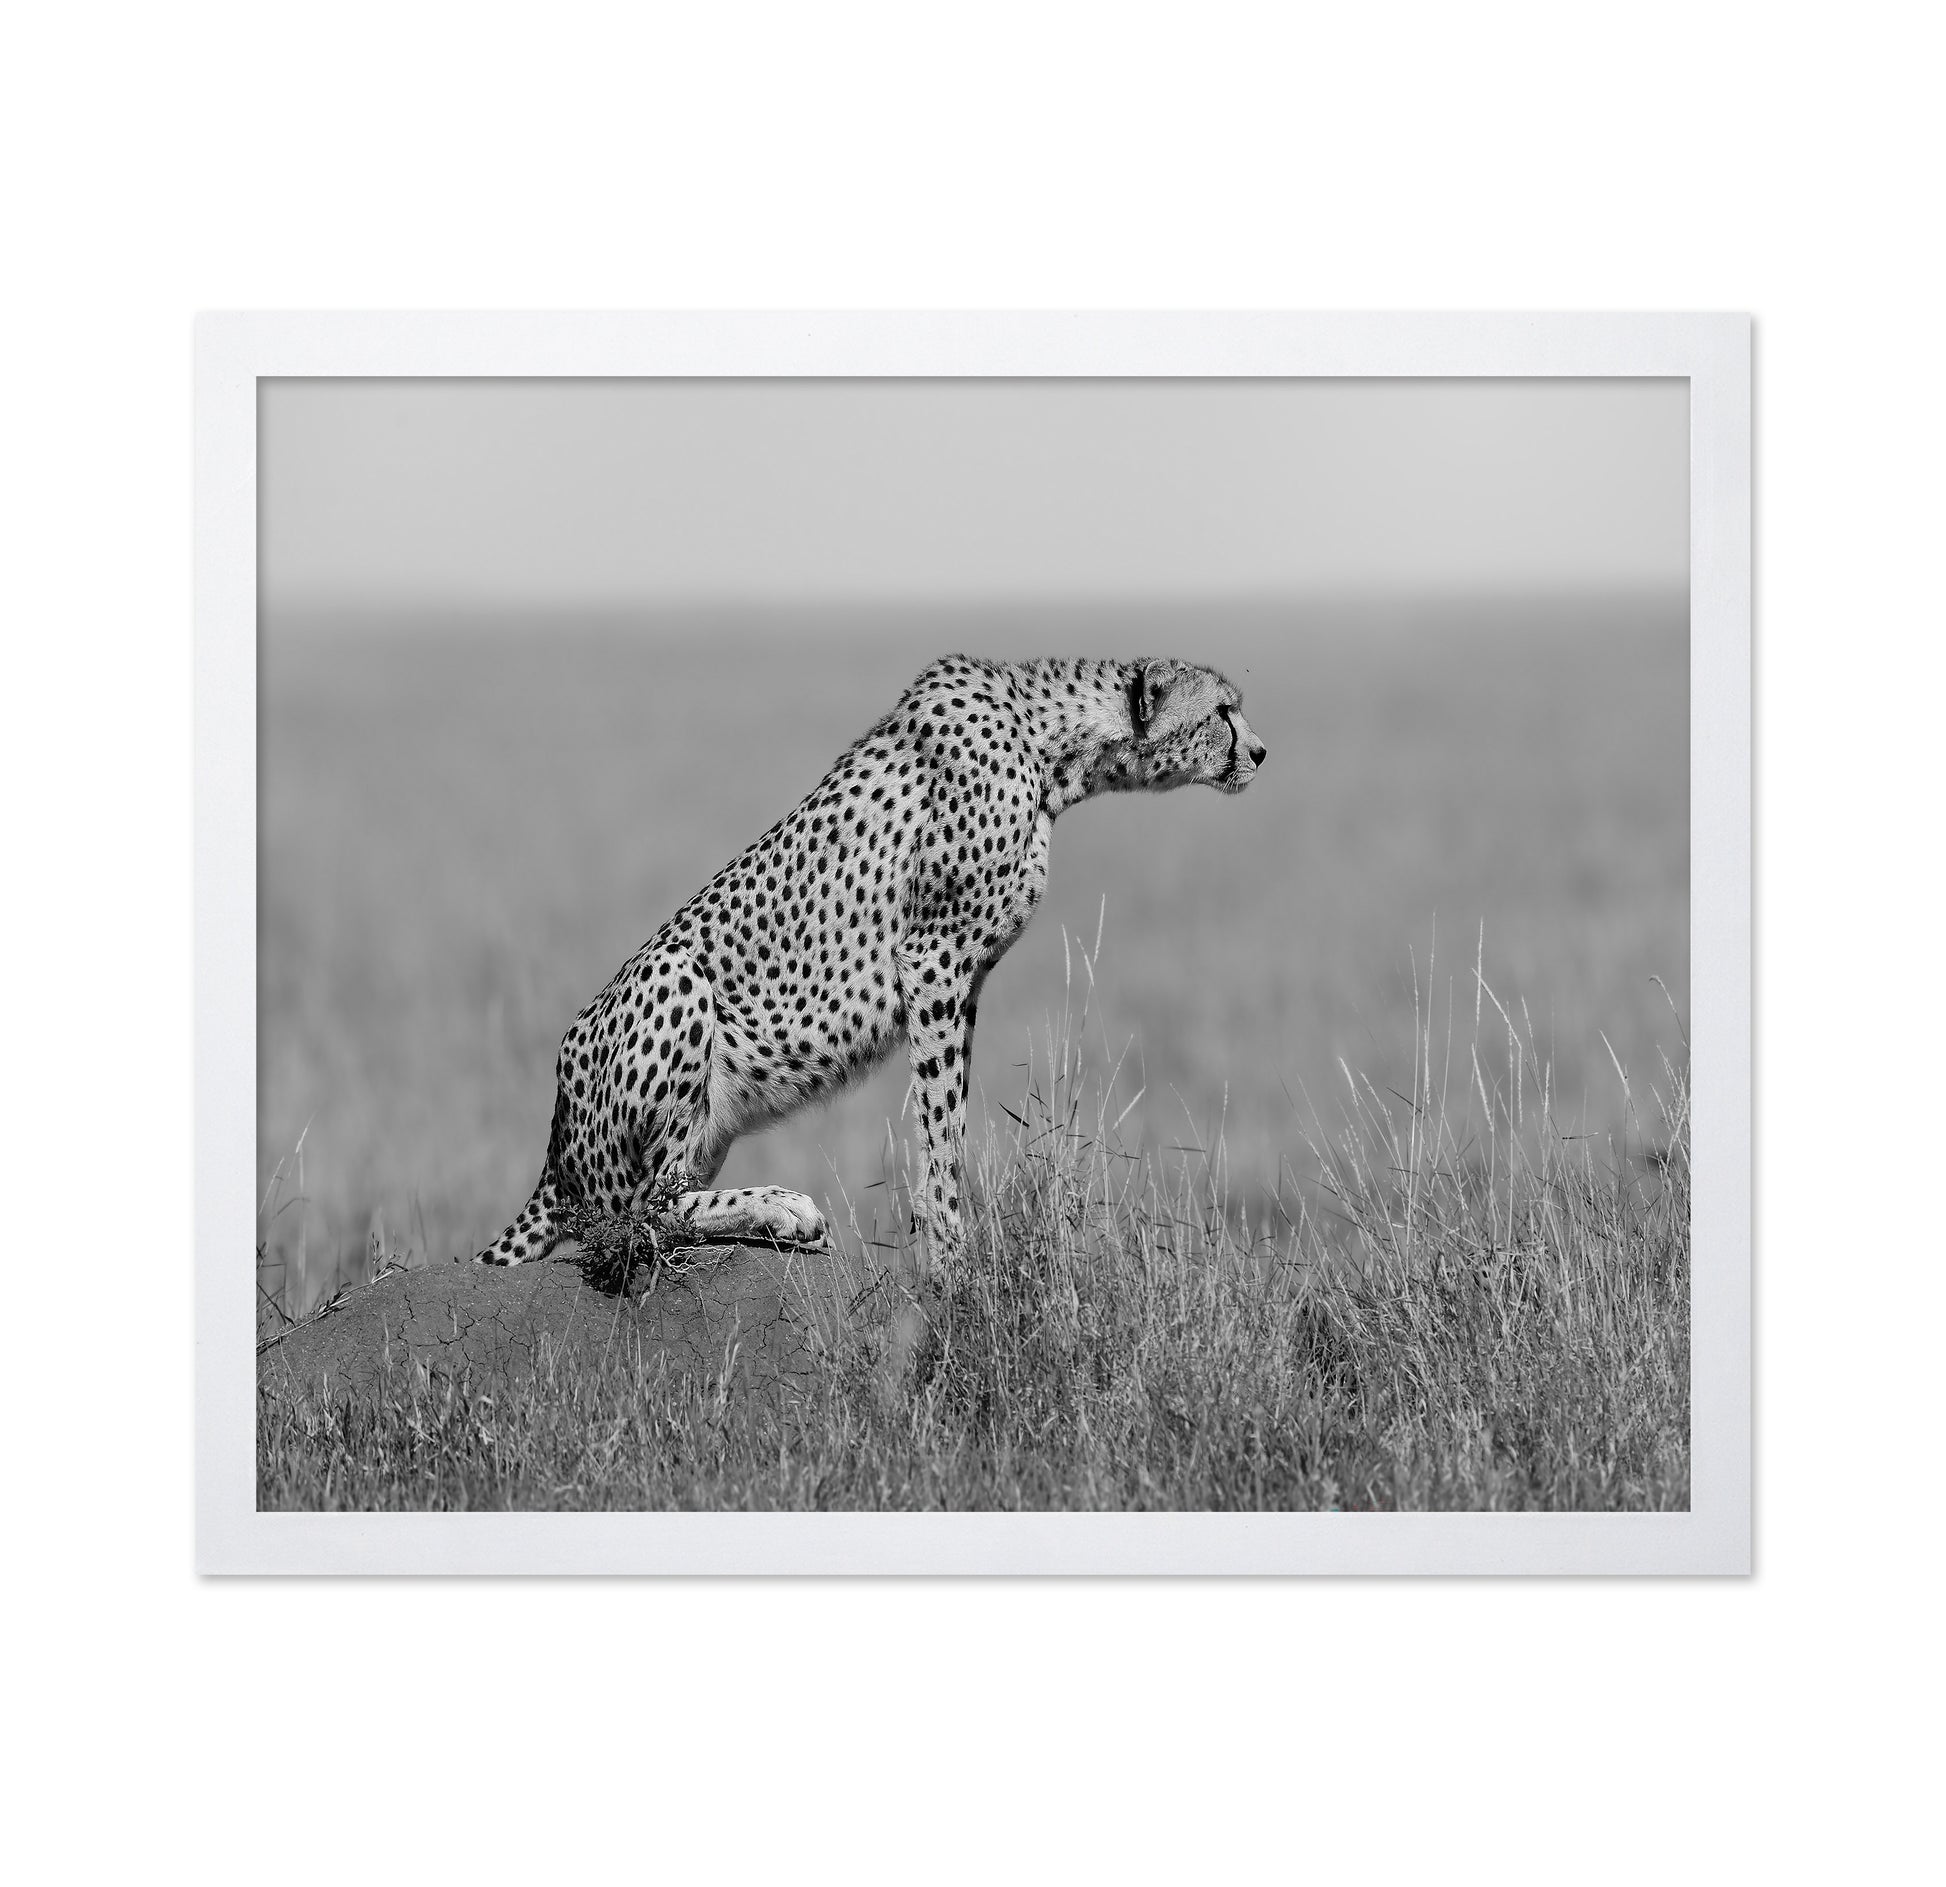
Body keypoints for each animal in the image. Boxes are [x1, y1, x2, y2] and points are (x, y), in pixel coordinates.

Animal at [474, 654, 1267, 1273]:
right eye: (1223, 710)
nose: (1261, 752)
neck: (1051, 746)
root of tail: (555, 1135)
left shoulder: (963, 979)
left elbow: (950, 1114)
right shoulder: (935, 958)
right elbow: (941, 1123)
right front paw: (950, 1253)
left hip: (704, 1125)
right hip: (676, 977)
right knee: (632, 1218)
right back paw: (784, 1207)